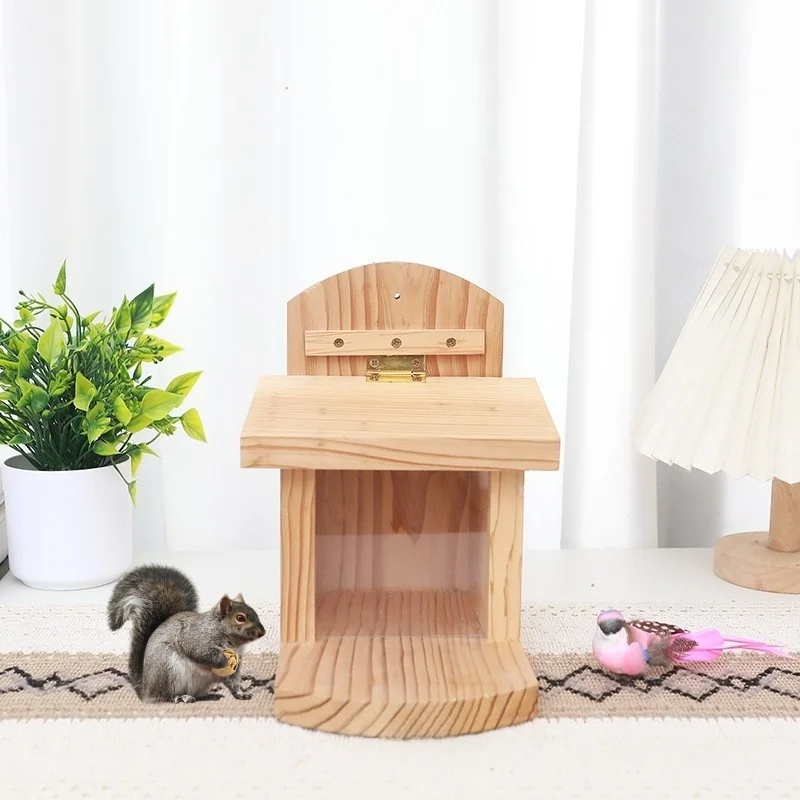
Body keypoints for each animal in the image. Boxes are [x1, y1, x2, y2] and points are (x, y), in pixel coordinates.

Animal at [107, 564, 266, 704]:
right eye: (240, 618)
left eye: (255, 612)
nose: (262, 632)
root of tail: (145, 690)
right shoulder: (196, 638)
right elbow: (200, 653)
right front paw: (224, 660)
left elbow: (233, 681)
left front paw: (241, 693)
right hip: (169, 671)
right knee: (164, 696)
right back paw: (180, 697)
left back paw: (209, 695)